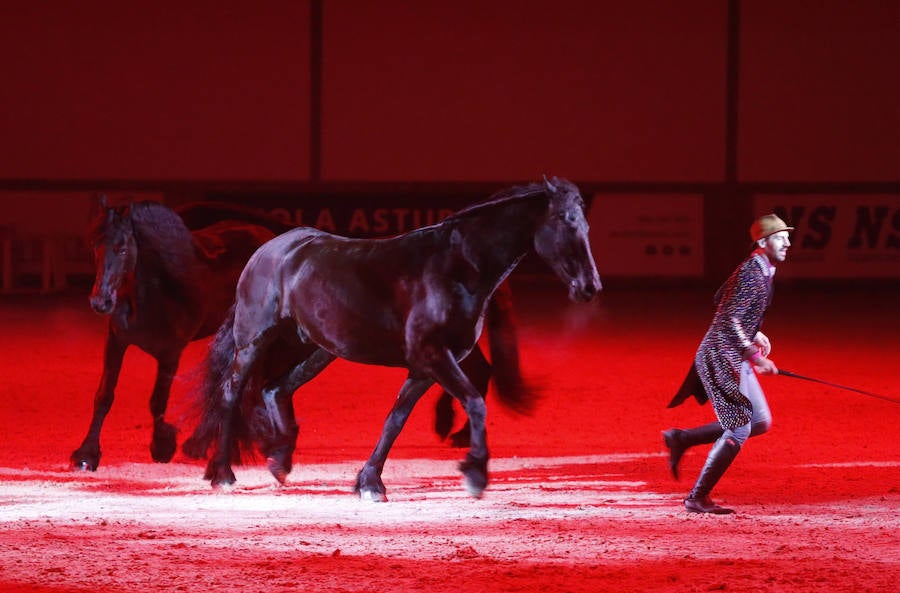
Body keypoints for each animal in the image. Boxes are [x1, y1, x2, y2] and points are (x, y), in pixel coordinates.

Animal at [70, 197, 282, 470]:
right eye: (95, 245)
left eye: (123, 248)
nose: (100, 302)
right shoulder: (116, 342)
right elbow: (104, 395)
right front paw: (86, 455)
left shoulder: (170, 354)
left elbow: (157, 400)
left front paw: (162, 446)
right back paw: (199, 444)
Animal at [192, 176, 596, 500]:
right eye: (565, 220)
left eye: (586, 225)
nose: (589, 286)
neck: (455, 267)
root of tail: (269, 249)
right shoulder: (433, 356)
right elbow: (474, 401)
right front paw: (475, 475)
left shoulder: (425, 366)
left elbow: (395, 419)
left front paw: (370, 483)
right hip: (254, 342)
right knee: (231, 394)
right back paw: (223, 474)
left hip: (316, 349)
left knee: (275, 388)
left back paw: (279, 460)